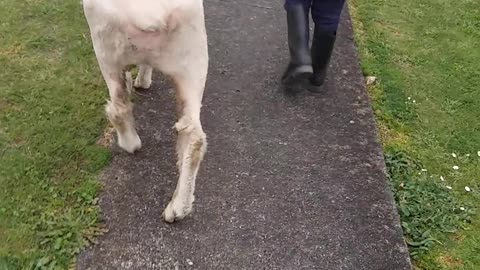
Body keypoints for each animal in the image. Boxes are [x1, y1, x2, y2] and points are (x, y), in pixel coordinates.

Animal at [82, 0, 208, 223]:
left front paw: (140, 81)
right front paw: (143, 80)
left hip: (106, 49)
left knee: (118, 106)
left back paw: (130, 143)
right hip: (193, 62)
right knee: (193, 136)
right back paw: (178, 207)